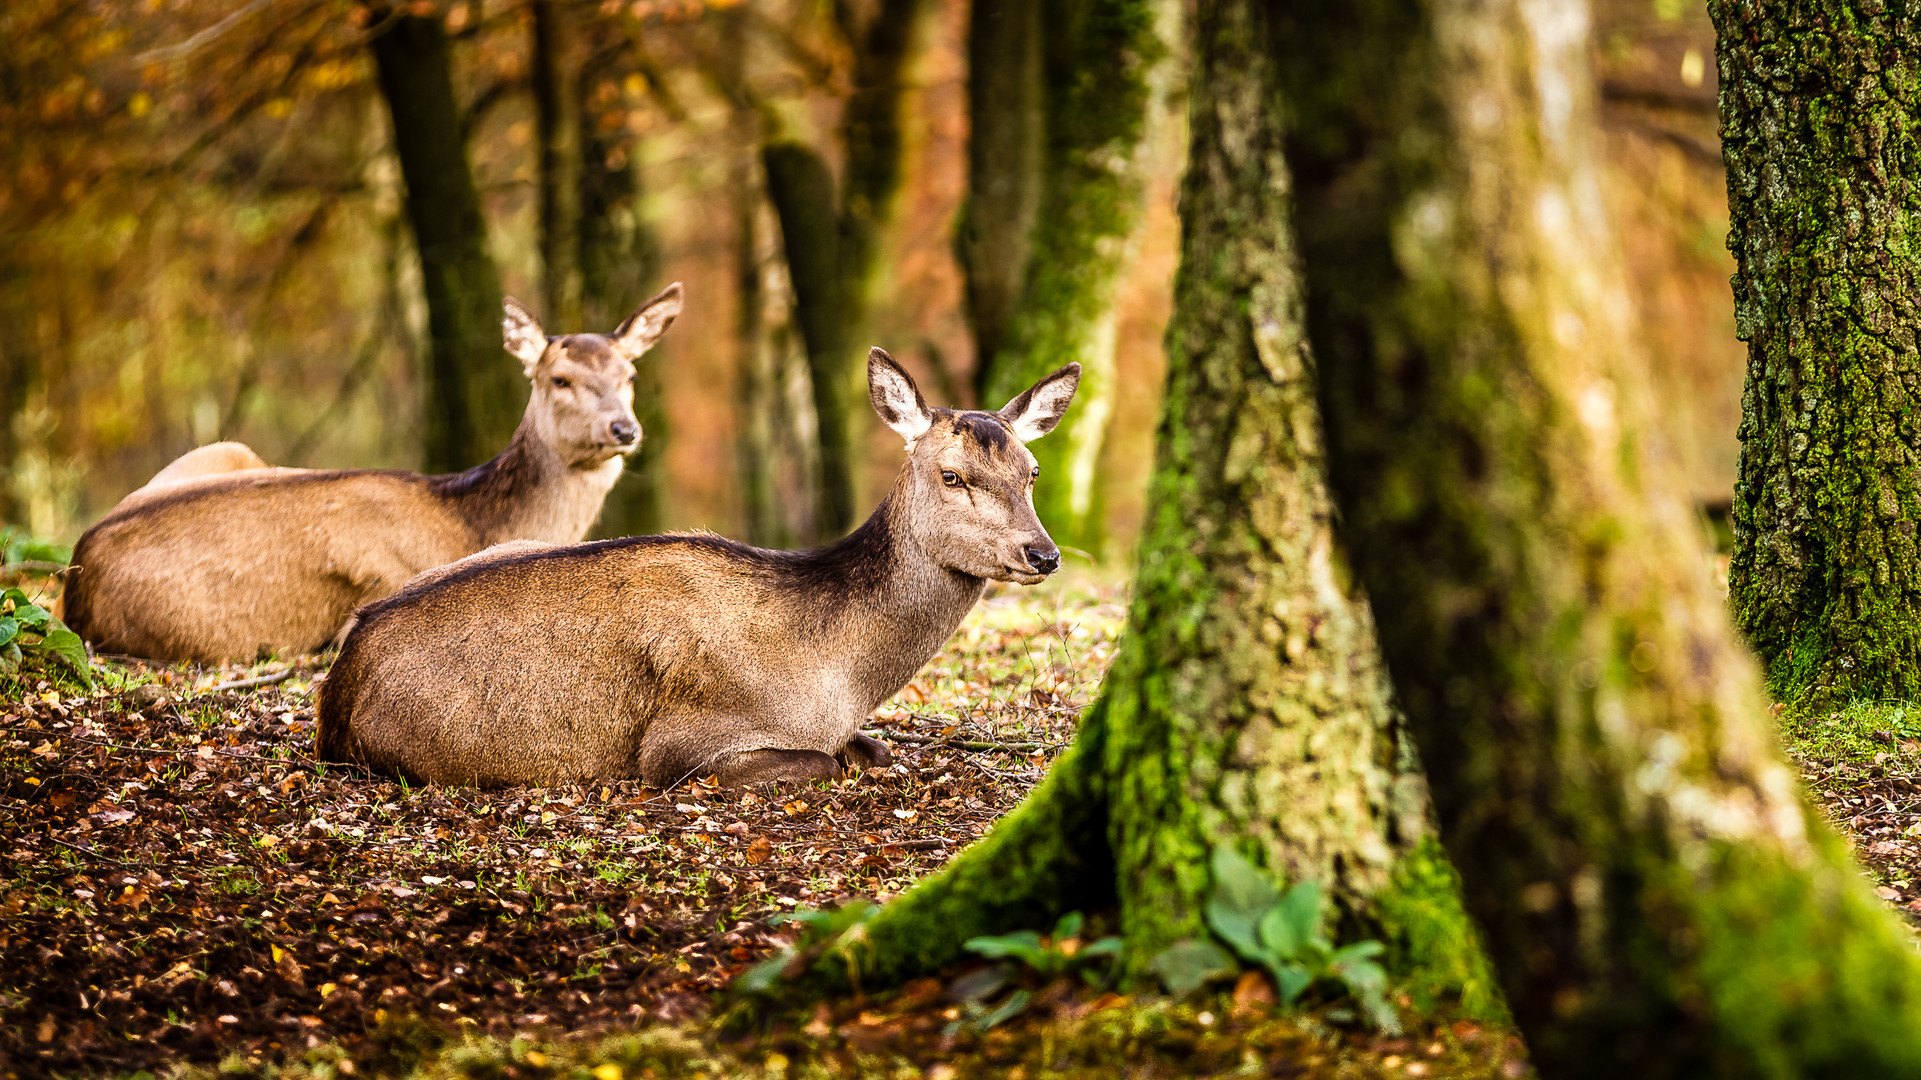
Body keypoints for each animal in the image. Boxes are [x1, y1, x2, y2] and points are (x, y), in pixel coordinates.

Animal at [63, 282, 687, 661]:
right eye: (560, 378)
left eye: (630, 374)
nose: (624, 429)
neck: (472, 520)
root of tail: (75, 572)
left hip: (225, 449)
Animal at [315, 349, 1083, 787]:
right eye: (953, 476)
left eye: (1033, 472)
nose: (1043, 554)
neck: (839, 671)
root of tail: (337, 687)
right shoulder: (682, 744)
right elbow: (822, 760)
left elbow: (872, 750)